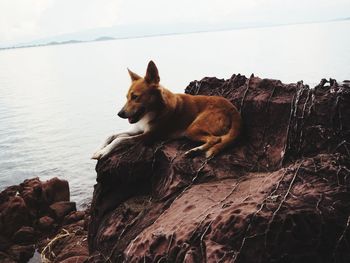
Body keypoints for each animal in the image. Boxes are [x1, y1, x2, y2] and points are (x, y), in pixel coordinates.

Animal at [91, 61, 242, 161]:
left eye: (135, 97)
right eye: (127, 97)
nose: (119, 114)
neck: (154, 110)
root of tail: (231, 106)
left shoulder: (149, 136)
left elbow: (120, 139)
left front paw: (103, 152)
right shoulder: (138, 129)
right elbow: (112, 135)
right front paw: (99, 149)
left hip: (192, 128)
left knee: (216, 138)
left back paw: (195, 150)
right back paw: (195, 151)